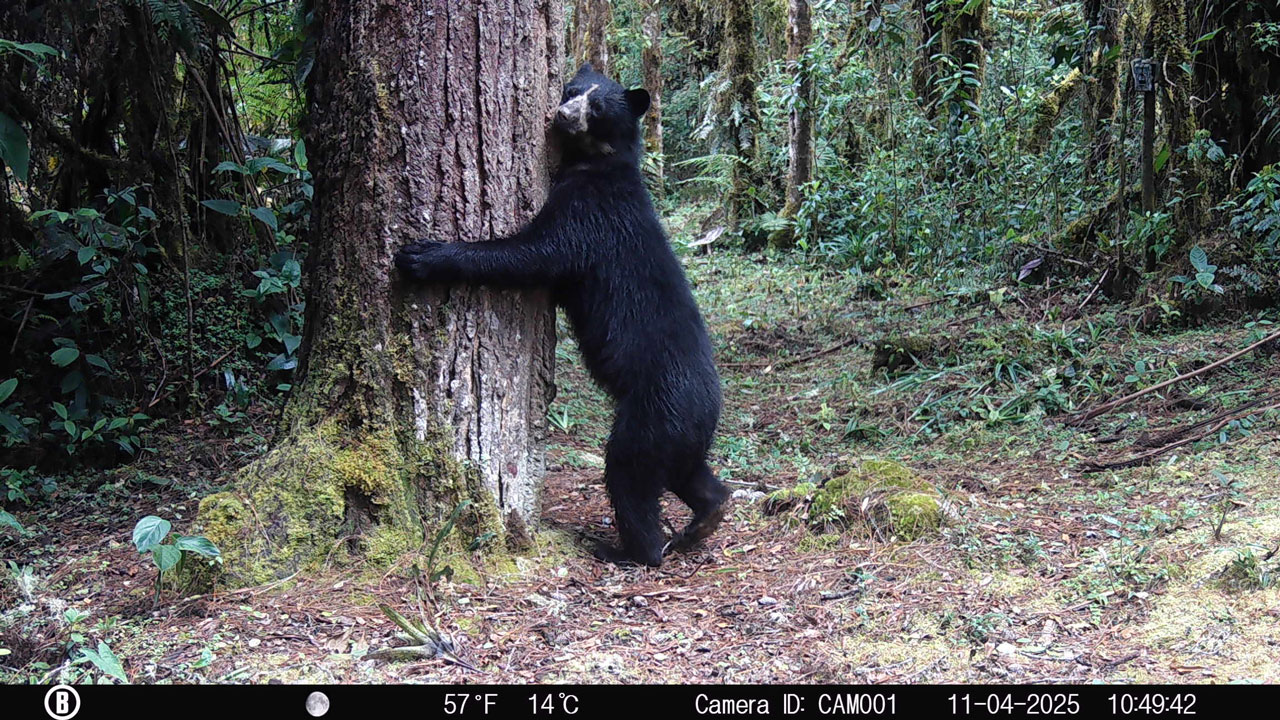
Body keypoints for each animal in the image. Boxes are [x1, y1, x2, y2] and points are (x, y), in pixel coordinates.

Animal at [394, 64, 728, 567]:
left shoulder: (587, 214)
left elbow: (531, 255)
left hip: (654, 411)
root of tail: (709, 405)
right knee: (687, 474)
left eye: (597, 106)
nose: (563, 113)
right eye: (573, 90)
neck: (597, 163)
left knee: (630, 471)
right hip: (681, 430)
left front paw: (422, 256)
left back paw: (634, 548)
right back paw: (707, 516)